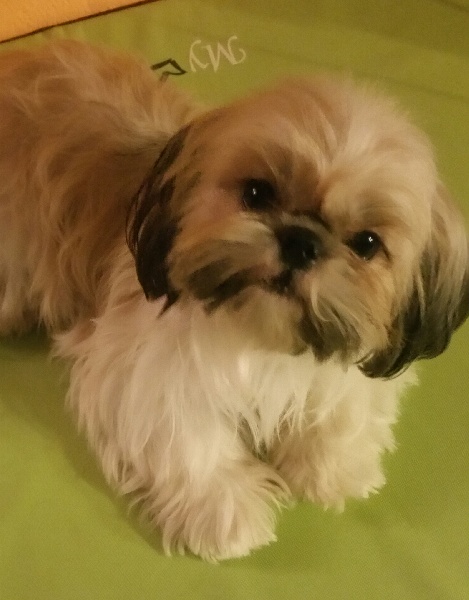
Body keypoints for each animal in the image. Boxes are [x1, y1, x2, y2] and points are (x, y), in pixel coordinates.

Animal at [0, 41, 468, 561]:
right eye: (257, 193)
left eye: (366, 243)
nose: (301, 241)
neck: (258, 335)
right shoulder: (143, 369)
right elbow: (189, 438)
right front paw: (225, 511)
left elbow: (345, 408)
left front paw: (330, 467)